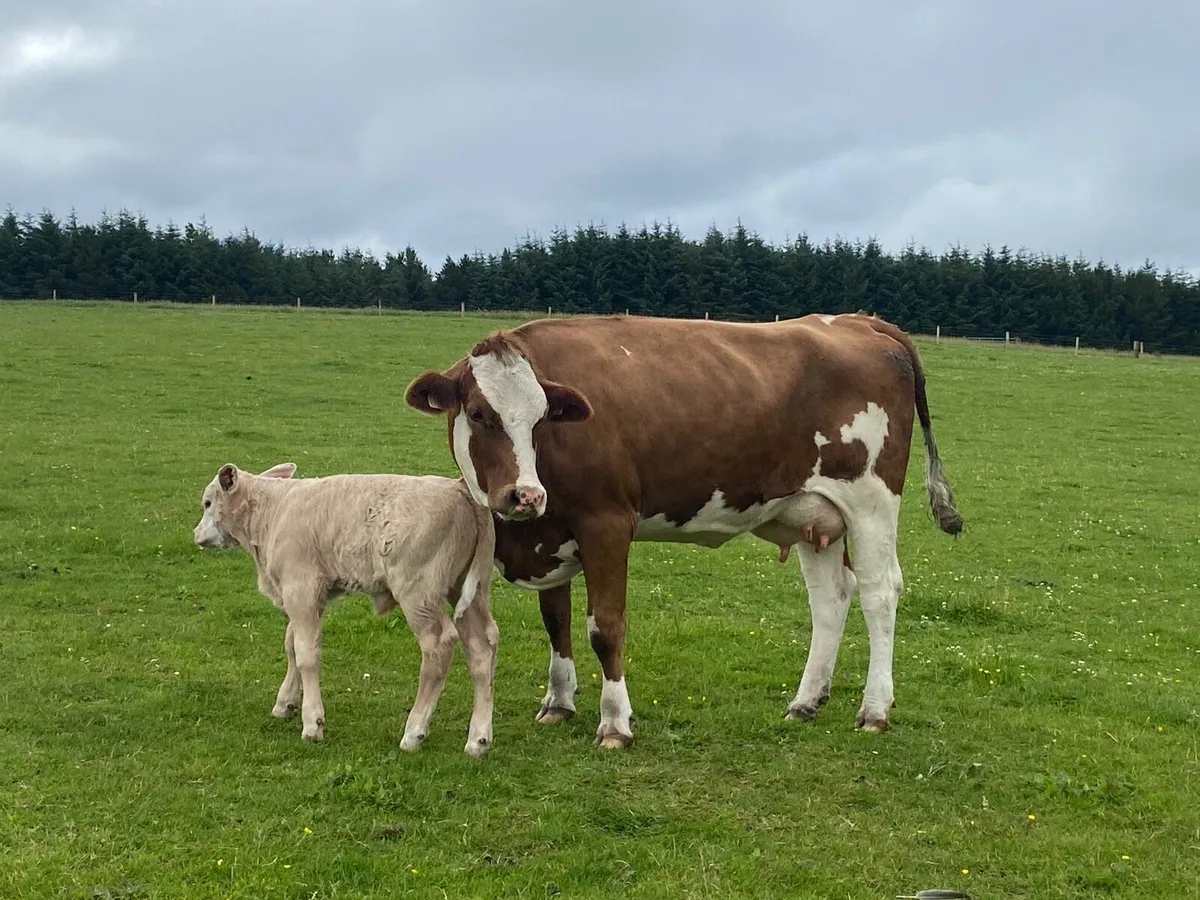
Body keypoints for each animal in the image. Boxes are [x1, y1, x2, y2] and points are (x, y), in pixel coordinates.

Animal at [192, 462, 500, 757]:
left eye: (207, 503)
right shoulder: (306, 597)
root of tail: (458, 487)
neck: (271, 512)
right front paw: (286, 703)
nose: (196, 535)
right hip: (467, 588)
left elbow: (306, 654)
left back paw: (414, 733)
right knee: (482, 646)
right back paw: (478, 740)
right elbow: (292, 645)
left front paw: (312, 723)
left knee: (439, 645)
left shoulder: (300, 587)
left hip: (419, 591)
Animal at [403, 312, 962, 750]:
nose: (524, 495)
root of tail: (860, 321)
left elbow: (605, 627)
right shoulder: (550, 532)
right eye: (478, 414)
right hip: (813, 513)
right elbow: (555, 620)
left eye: (542, 419)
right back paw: (805, 702)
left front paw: (615, 723)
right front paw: (558, 702)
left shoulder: (607, 522)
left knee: (879, 592)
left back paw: (875, 710)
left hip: (871, 502)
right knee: (831, 598)